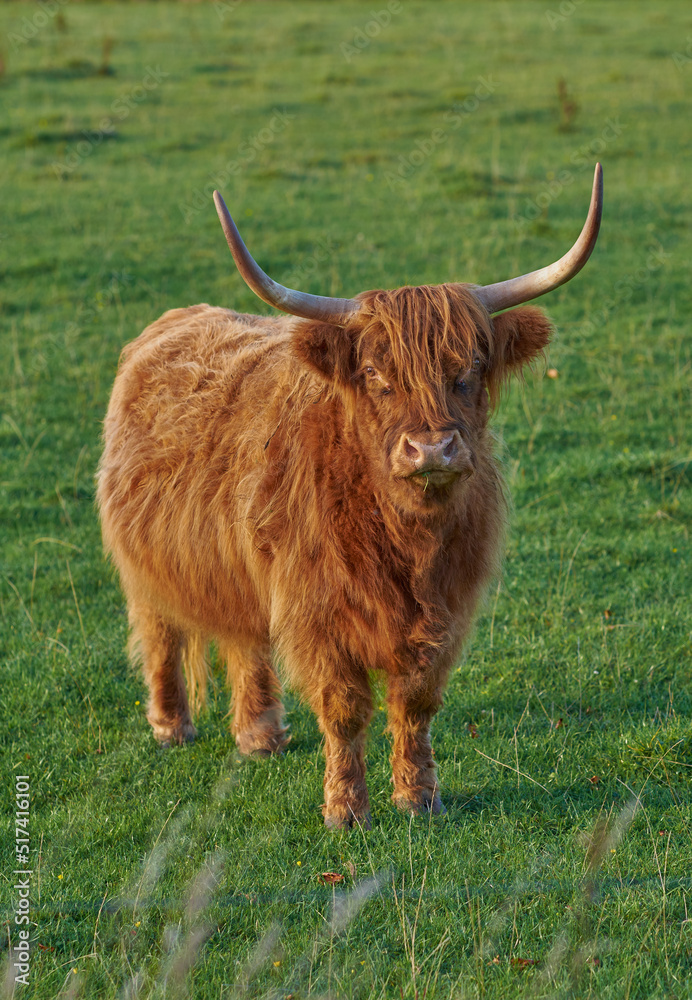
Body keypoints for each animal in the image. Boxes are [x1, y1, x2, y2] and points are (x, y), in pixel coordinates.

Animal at [97, 164, 600, 824]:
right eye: (376, 377)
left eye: (468, 371)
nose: (431, 450)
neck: (405, 540)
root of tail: (179, 316)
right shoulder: (318, 612)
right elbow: (343, 708)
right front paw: (345, 810)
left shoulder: (444, 611)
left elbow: (415, 703)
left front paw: (419, 798)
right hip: (147, 563)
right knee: (159, 632)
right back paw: (171, 726)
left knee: (245, 638)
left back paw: (260, 735)